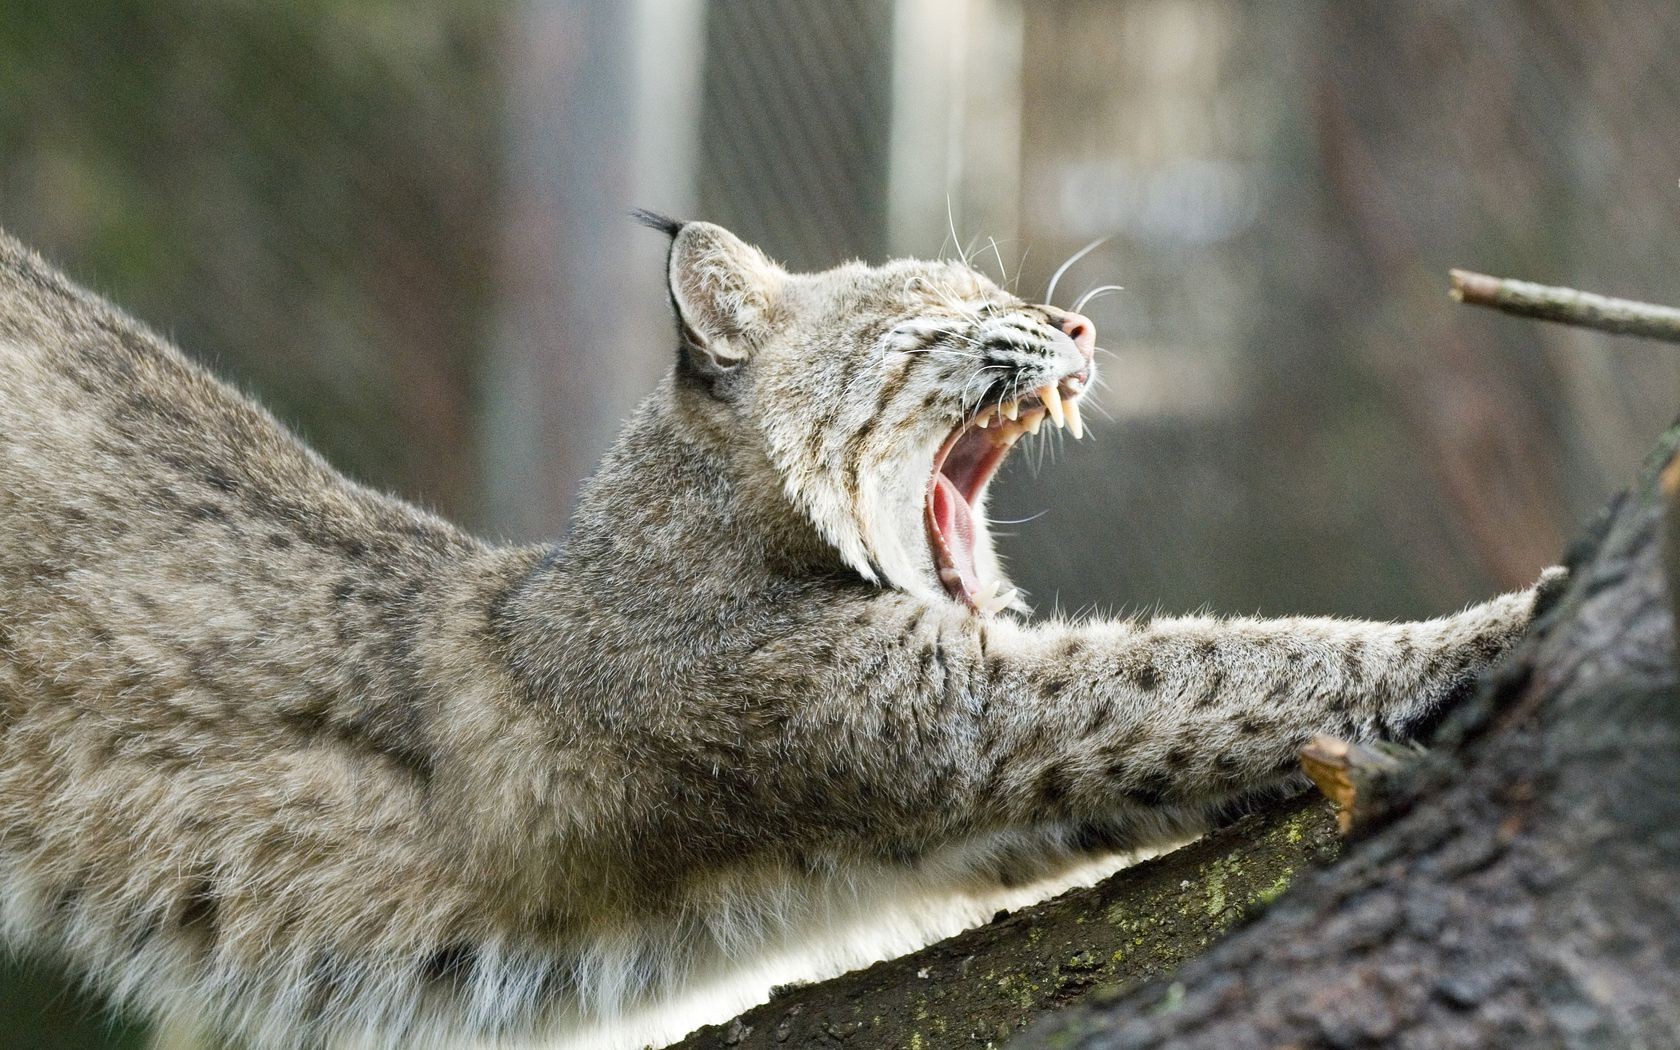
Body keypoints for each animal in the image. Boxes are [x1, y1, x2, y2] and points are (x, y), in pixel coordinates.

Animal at [0, 215, 1545, 1048]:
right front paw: (1511, 615)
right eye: (955, 303)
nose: (1077, 327)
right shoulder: (933, 716)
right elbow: (1222, 659)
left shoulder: (924, 774)